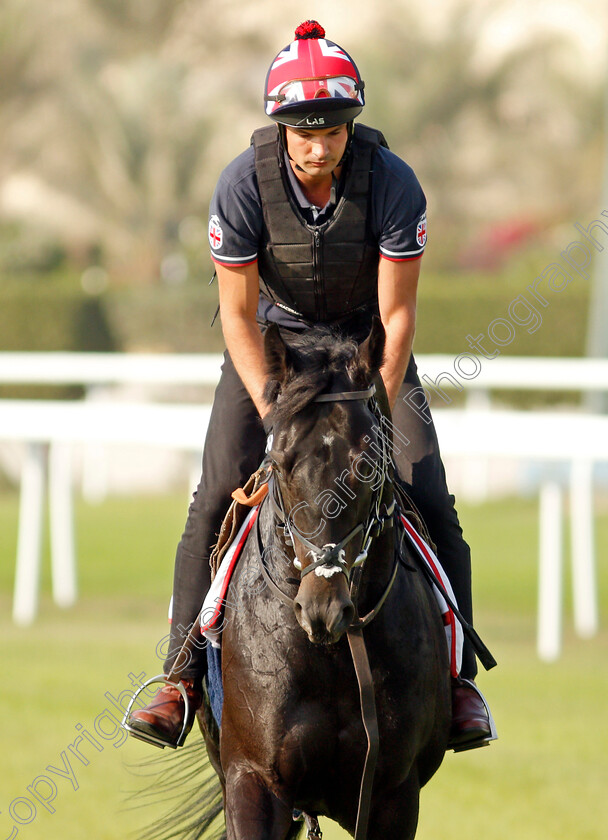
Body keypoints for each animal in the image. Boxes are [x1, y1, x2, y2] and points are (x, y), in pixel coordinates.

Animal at [196, 316, 452, 840]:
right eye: (279, 462)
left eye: (368, 466)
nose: (322, 609)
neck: (332, 655)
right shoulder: (253, 780)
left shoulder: (393, 793)